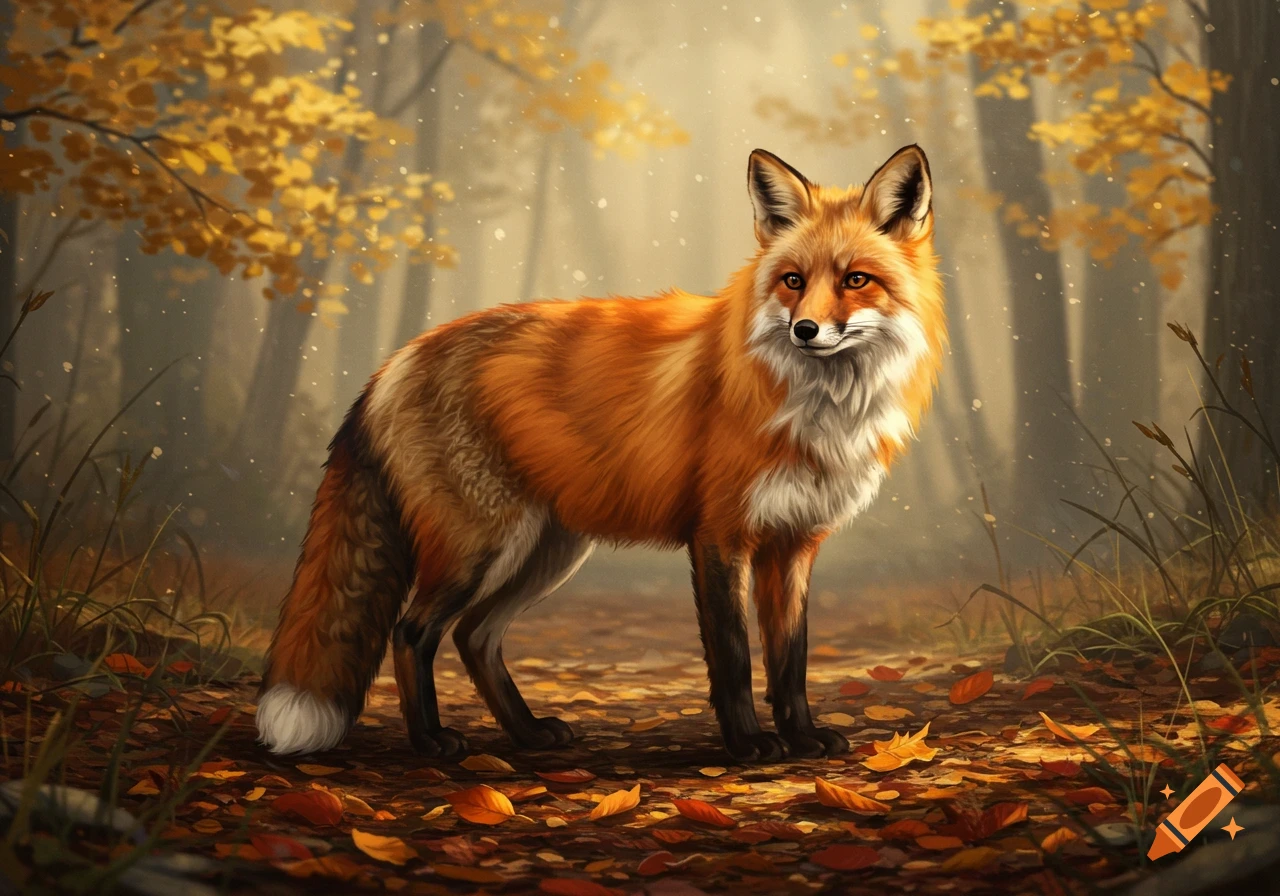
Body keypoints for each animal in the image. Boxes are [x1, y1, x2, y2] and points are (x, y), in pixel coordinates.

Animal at [256, 144, 946, 762]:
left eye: (856, 280)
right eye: (793, 281)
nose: (806, 330)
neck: (812, 409)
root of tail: (396, 361)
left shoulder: (793, 543)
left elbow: (790, 662)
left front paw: (802, 739)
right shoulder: (720, 535)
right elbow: (732, 657)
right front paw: (748, 745)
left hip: (547, 552)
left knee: (476, 636)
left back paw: (528, 734)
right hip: (481, 547)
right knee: (414, 631)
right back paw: (430, 743)